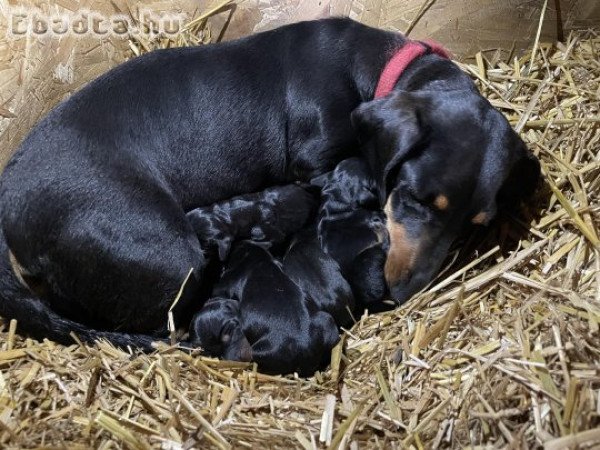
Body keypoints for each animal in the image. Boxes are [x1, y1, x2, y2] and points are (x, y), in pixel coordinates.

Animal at [0, 18, 540, 348]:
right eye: (412, 197)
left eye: (474, 223)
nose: (403, 291)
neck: (383, 71)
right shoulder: (318, 163)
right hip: (172, 256)